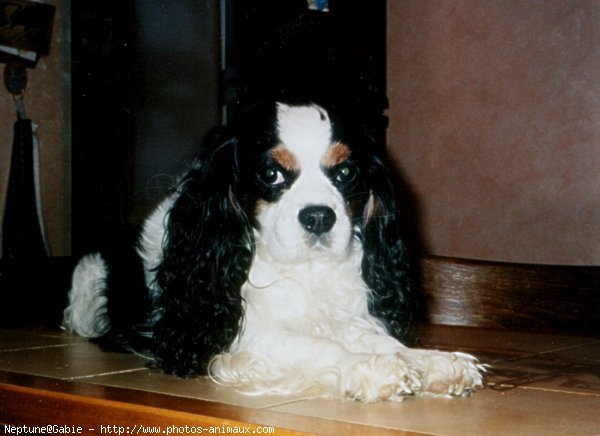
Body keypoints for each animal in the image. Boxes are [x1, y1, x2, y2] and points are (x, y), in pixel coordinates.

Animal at [62, 99, 482, 402]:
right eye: (271, 174)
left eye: (346, 174)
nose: (319, 216)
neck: (304, 270)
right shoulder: (245, 335)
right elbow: (316, 346)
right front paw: (369, 368)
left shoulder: (345, 316)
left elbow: (381, 340)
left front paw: (433, 362)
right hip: (90, 278)